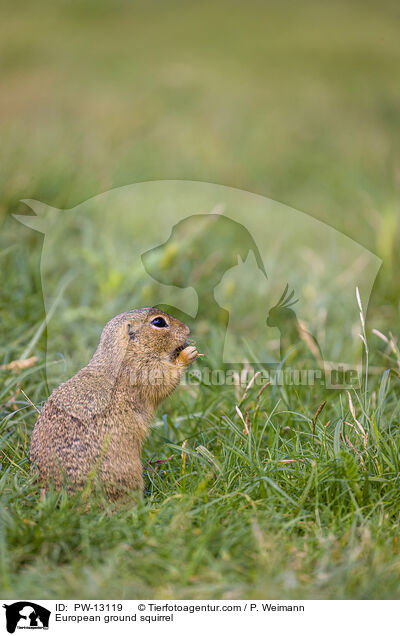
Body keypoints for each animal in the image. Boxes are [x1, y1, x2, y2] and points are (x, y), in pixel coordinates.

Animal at [31, 308, 198, 502]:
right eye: (159, 322)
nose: (187, 330)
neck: (128, 351)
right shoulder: (145, 370)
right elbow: (166, 381)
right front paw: (188, 354)